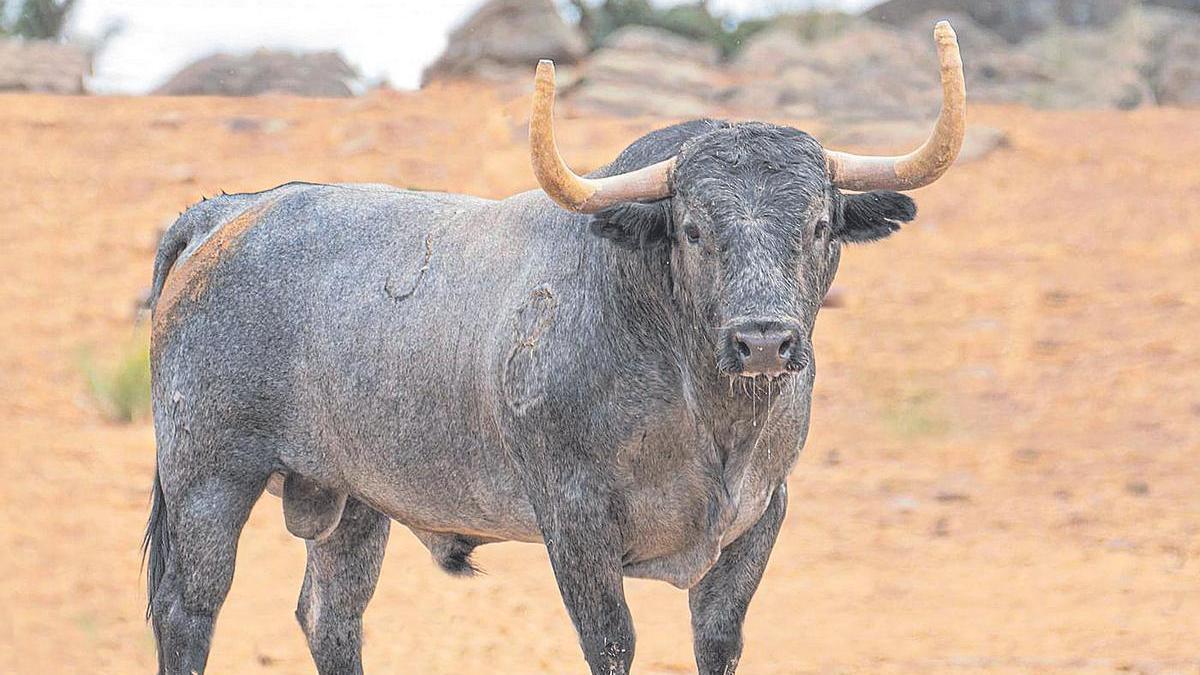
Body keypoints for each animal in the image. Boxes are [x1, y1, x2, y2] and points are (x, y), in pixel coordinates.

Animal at [142, 21, 964, 672]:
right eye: (694, 228)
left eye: (819, 226)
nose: (763, 340)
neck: (702, 409)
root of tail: (230, 211)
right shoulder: (575, 523)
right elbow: (612, 642)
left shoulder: (759, 518)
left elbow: (717, 643)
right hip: (208, 480)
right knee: (188, 611)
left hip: (353, 502)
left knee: (330, 618)